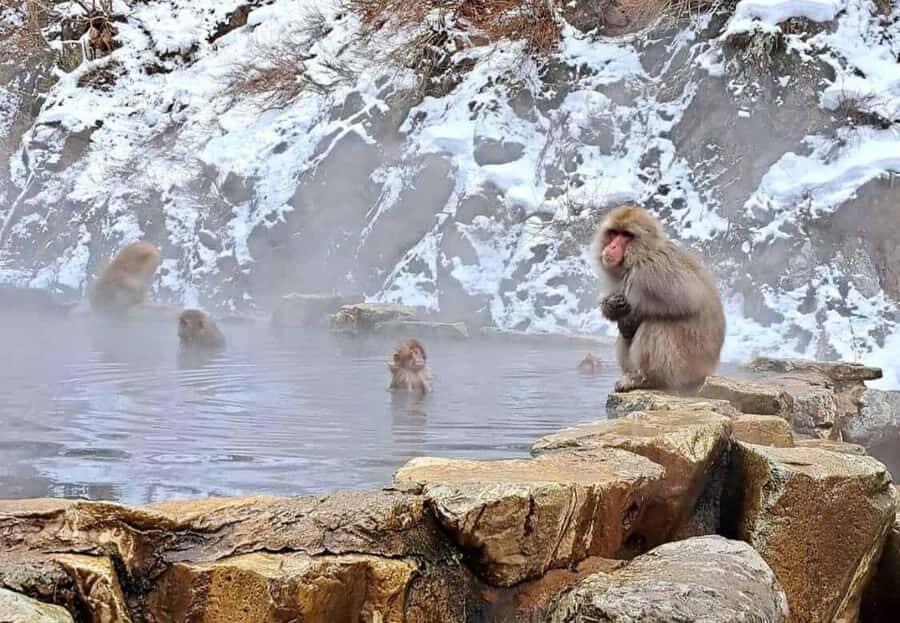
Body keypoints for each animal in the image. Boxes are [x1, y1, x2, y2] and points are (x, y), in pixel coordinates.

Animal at [594, 204, 725, 393]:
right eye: (614, 233)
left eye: (626, 235)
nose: (611, 246)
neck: (640, 253)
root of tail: (708, 371)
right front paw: (611, 306)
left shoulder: (651, 271)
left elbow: (690, 299)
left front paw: (633, 317)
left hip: (685, 367)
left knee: (655, 324)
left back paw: (646, 379)